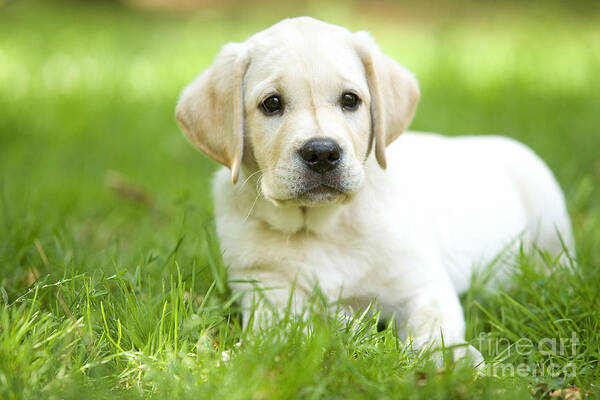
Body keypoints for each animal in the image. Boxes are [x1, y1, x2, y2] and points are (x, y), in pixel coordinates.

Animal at [176, 17, 576, 364]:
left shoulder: (424, 285)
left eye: (350, 100)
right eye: (271, 103)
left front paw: (454, 362)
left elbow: (433, 330)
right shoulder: (267, 296)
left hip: (549, 220)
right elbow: (299, 332)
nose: (322, 153)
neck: (324, 226)